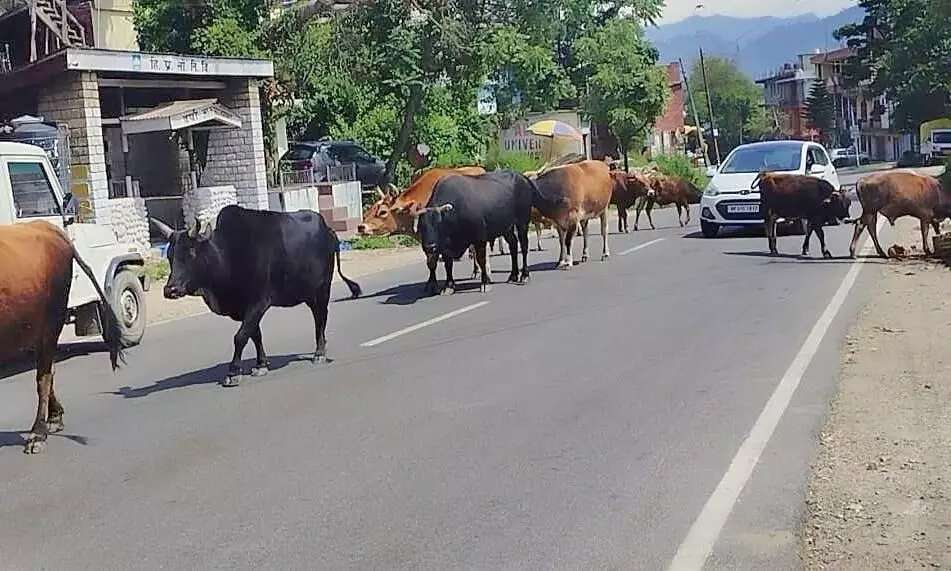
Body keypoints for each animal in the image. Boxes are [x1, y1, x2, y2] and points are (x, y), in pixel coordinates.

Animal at [0, 221, 123, 454]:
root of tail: (46, 226)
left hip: (51, 321)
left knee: (44, 376)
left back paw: (38, 433)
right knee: (49, 370)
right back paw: (54, 417)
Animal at [151, 205, 361, 387]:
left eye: (191, 252)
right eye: (169, 256)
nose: (170, 289)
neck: (227, 255)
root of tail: (328, 230)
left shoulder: (259, 303)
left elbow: (240, 337)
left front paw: (233, 372)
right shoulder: (245, 309)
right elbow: (255, 334)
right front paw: (261, 365)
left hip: (322, 289)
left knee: (320, 318)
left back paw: (320, 352)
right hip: (309, 293)